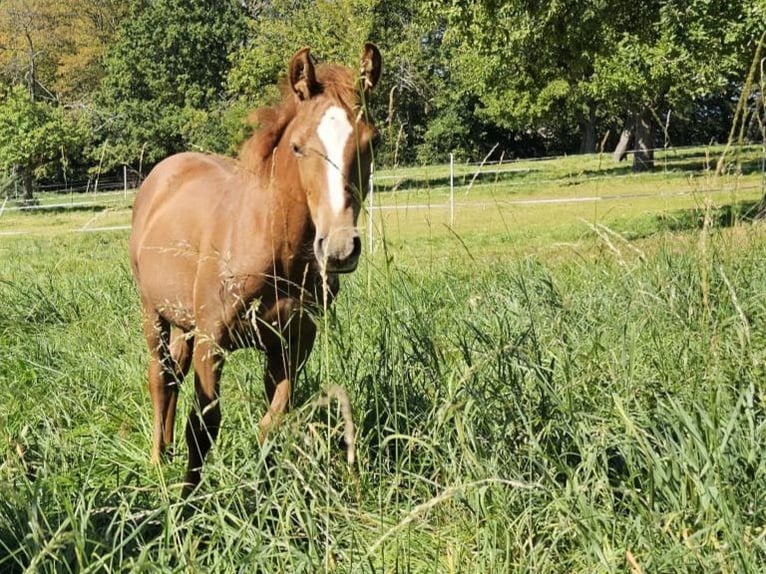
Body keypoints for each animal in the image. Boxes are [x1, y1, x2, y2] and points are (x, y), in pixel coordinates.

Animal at [132, 44, 384, 496]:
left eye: (371, 142)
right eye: (299, 147)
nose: (339, 249)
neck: (274, 249)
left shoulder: (293, 342)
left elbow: (274, 420)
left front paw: (264, 486)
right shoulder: (212, 340)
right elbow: (204, 425)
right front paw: (188, 499)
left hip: (183, 322)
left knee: (174, 371)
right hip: (153, 312)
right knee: (160, 377)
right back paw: (159, 462)